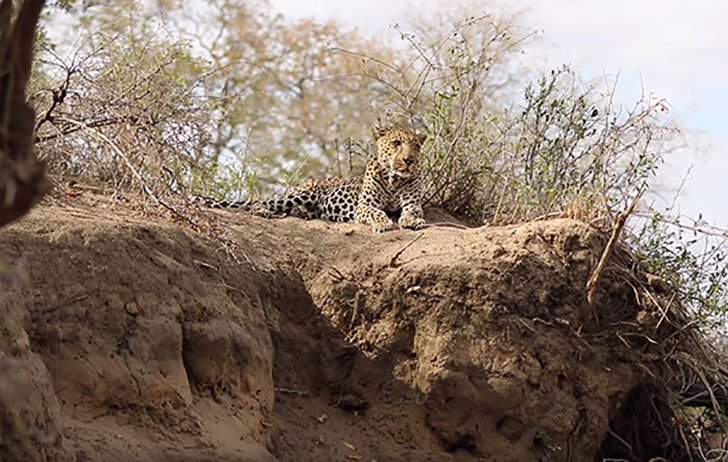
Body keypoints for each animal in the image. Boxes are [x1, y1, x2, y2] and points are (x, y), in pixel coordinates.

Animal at [196, 124, 430, 233]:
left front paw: (413, 221)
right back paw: (265, 211)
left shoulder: (412, 203)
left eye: (415, 146)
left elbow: (411, 211)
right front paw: (383, 224)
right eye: (397, 143)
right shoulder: (365, 205)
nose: (409, 160)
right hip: (300, 195)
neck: (394, 180)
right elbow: (377, 212)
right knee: (263, 203)